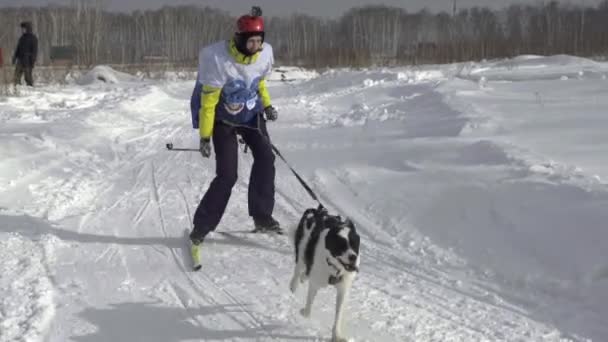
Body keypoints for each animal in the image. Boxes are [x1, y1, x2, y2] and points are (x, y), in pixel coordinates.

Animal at [290, 206, 360, 342]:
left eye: (355, 244)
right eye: (341, 245)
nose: (353, 257)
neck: (334, 267)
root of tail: (317, 211)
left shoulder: (343, 289)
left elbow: (338, 314)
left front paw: (336, 335)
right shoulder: (316, 281)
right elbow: (309, 304)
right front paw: (304, 312)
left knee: (305, 272)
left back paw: (303, 278)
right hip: (302, 248)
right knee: (298, 268)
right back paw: (293, 286)